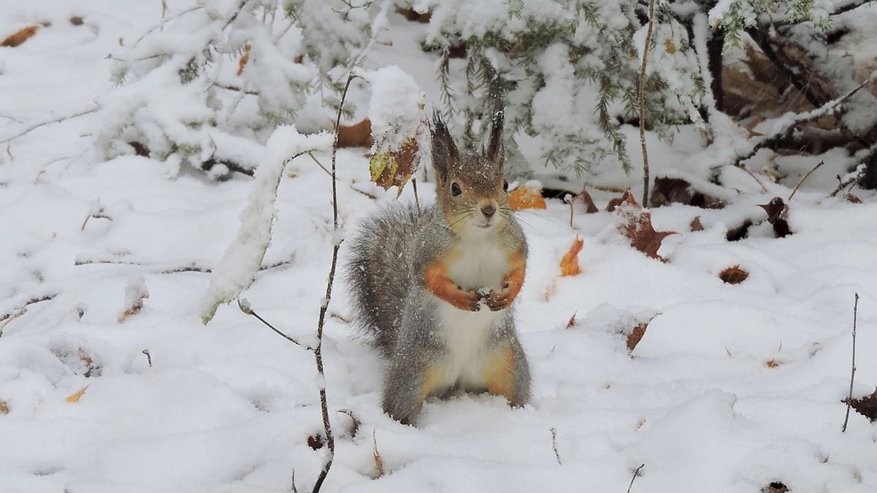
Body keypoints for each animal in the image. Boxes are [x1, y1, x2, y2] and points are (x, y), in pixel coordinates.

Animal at [348, 108, 528, 422]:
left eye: (504, 184)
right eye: (455, 188)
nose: (489, 209)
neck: (478, 238)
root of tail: (458, 380)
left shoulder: (516, 243)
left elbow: (521, 269)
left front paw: (507, 295)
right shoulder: (426, 252)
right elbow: (426, 278)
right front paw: (459, 298)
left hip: (508, 366)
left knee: (514, 391)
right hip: (413, 373)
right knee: (399, 405)